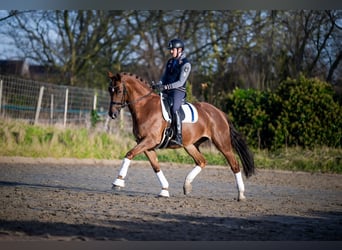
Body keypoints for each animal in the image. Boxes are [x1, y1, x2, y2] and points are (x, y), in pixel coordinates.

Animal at [108, 71, 255, 200]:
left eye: (119, 90)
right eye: (110, 90)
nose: (112, 114)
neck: (145, 107)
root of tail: (220, 113)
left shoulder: (149, 141)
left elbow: (129, 154)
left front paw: (118, 182)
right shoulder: (146, 144)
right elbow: (156, 166)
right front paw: (164, 190)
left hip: (222, 144)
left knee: (234, 165)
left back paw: (241, 195)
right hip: (190, 145)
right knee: (201, 161)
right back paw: (187, 185)